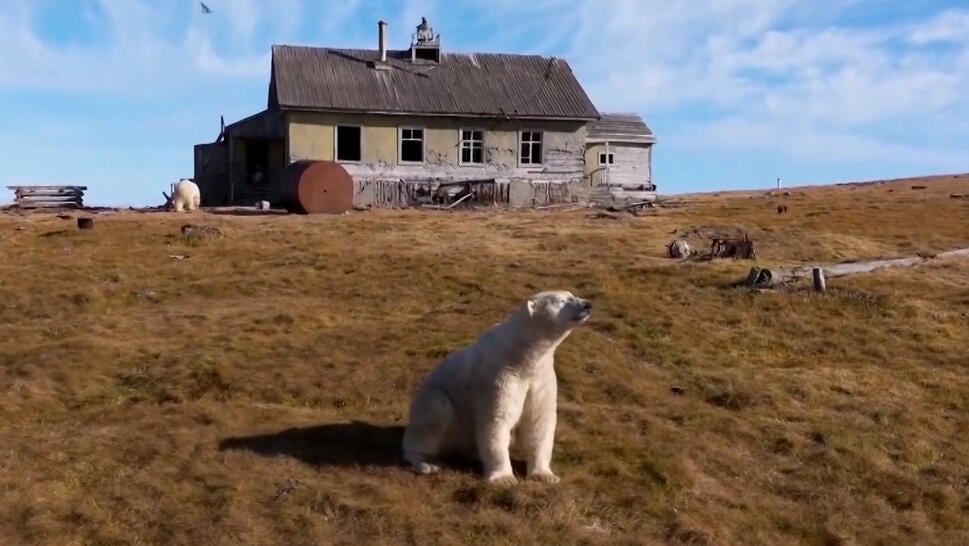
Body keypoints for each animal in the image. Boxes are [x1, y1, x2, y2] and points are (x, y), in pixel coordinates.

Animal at [402, 290, 592, 485]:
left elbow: (539, 420)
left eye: (573, 295)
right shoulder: (500, 373)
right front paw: (505, 479)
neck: (522, 354)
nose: (587, 305)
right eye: (561, 300)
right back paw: (427, 463)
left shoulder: (541, 375)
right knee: (434, 414)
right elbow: (497, 419)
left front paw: (546, 475)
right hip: (436, 405)